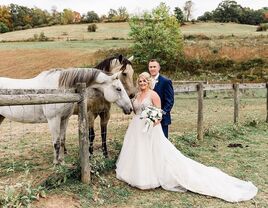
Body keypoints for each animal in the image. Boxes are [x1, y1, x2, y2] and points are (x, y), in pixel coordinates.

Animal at [0, 68, 132, 164]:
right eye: (119, 89)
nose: (130, 108)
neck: (59, 89)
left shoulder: (64, 119)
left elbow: (62, 141)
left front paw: (62, 161)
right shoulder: (53, 120)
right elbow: (56, 142)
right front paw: (56, 163)